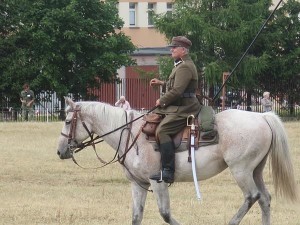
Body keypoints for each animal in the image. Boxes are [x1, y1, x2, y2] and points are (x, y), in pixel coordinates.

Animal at [56, 97, 298, 225]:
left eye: (68, 121)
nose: (60, 151)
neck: (131, 134)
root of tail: (262, 116)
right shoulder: (138, 184)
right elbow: (136, 217)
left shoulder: (158, 181)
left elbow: (165, 214)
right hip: (256, 170)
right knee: (265, 199)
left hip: (241, 170)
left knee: (252, 196)